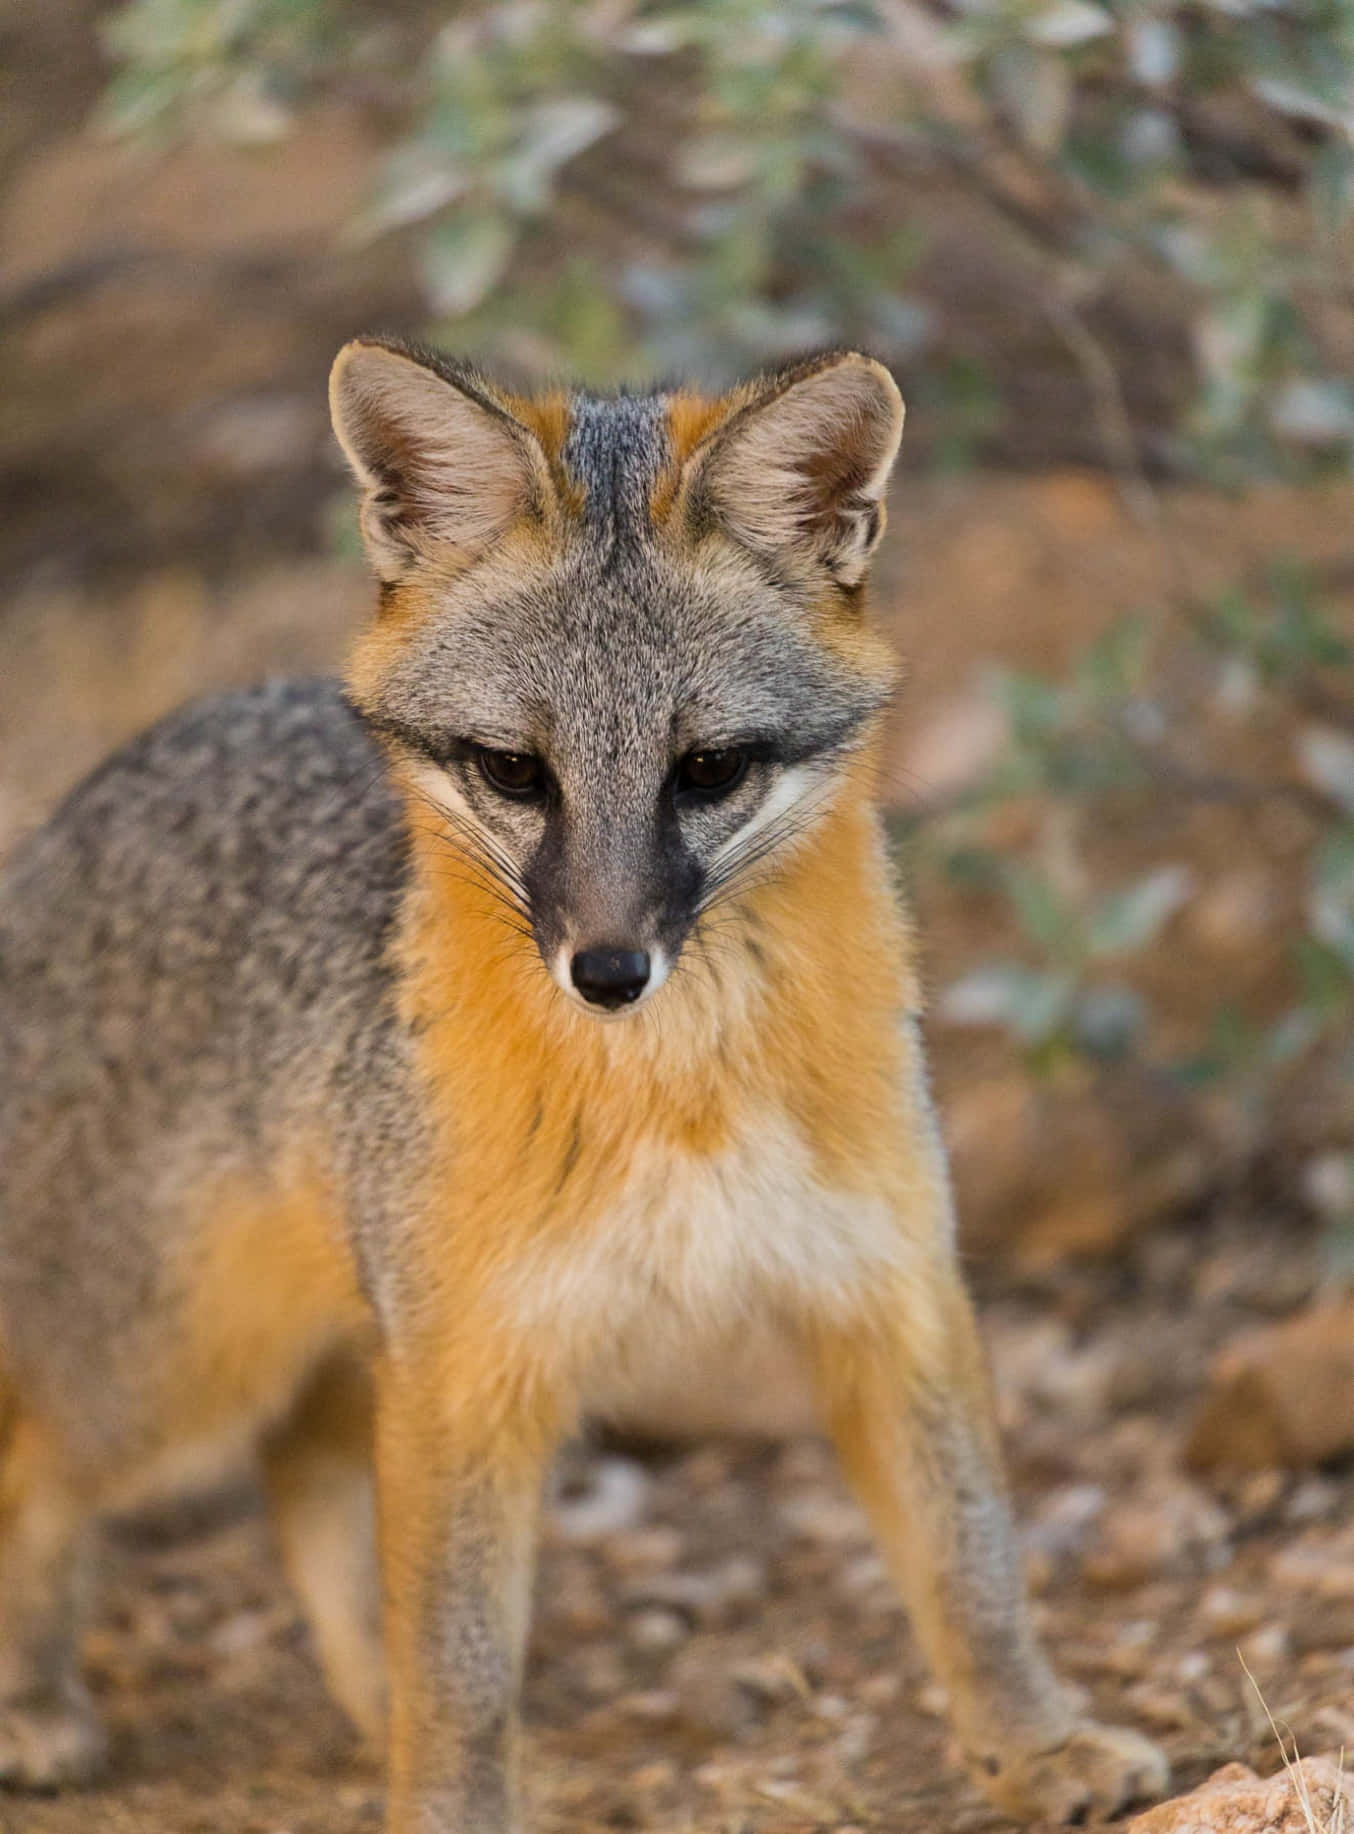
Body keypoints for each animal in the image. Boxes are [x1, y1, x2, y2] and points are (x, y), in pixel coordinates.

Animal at [0, 338, 1168, 1830]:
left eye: (707, 768)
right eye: (514, 769)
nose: (608, 969)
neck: (678, 1089)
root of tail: (80, 802)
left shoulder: (888, 1293)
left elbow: (973, 1563)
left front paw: (1033, 1744)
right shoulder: (468, 1365)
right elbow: (460, 1673)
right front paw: (446, 1808)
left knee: (297, 1479)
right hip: (168, 1373)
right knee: (42, 1471)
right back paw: (36, 1702)